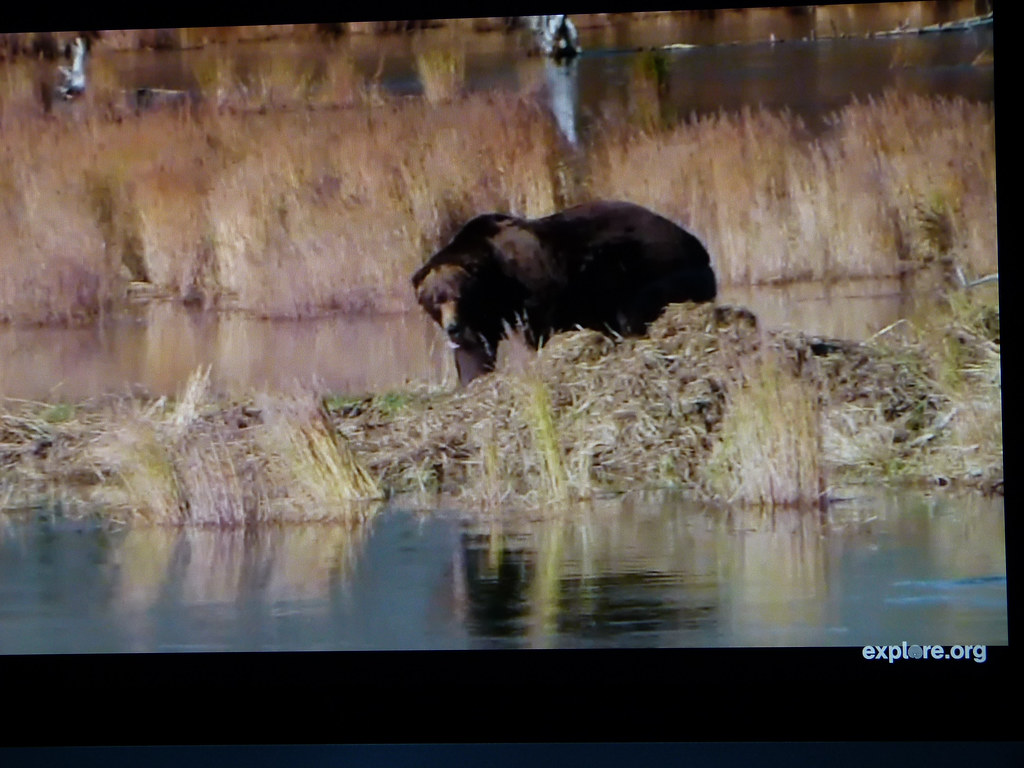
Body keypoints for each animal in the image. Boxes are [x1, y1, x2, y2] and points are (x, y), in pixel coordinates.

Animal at [411, 200, 717, 384]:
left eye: (458, 295)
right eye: (435, 300)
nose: (452, 327)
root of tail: (698, 245)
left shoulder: (532, 285)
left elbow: (537, 326)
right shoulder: (482, 318)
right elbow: (473, 352)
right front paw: (472, 377)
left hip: (645, 268)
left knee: (634, 308)